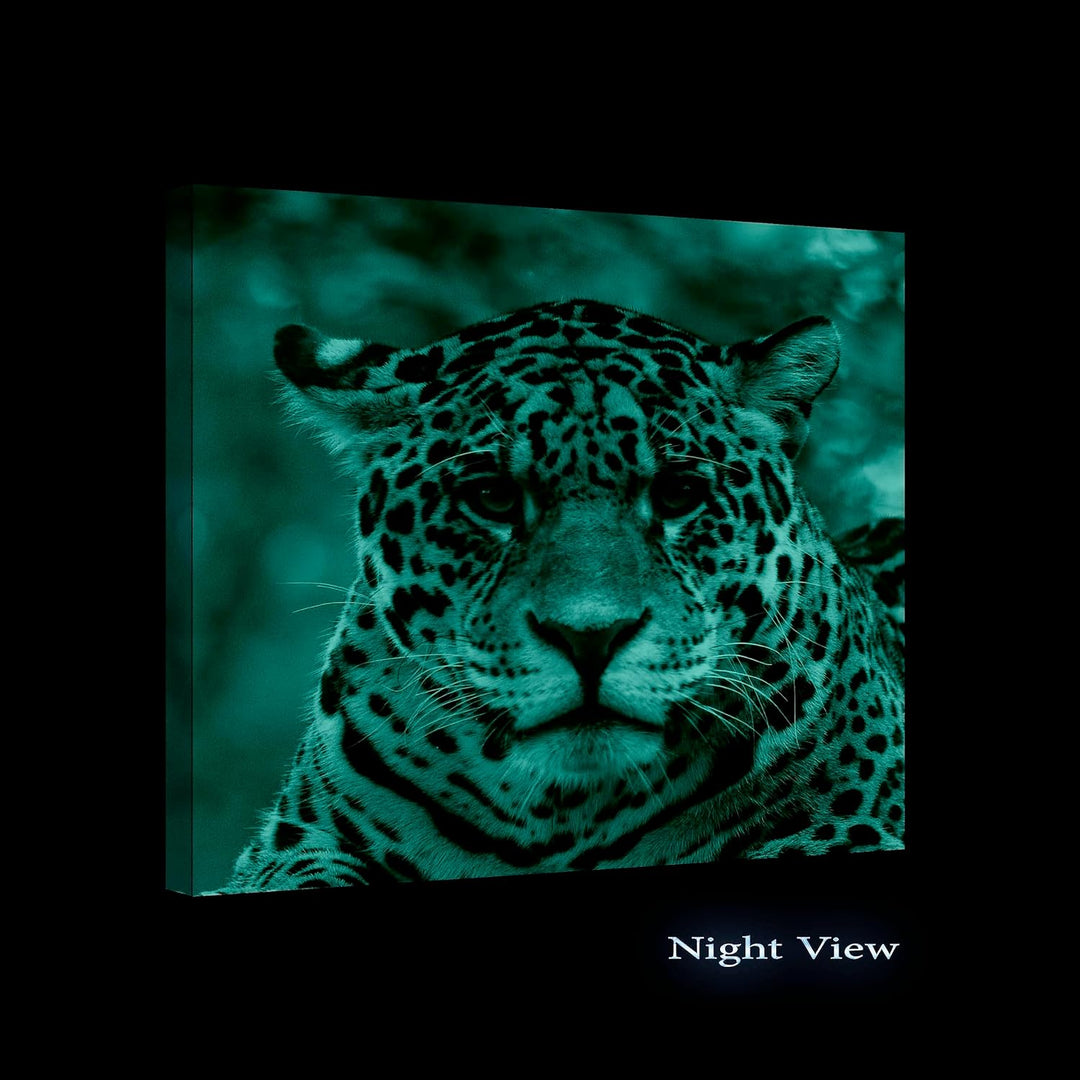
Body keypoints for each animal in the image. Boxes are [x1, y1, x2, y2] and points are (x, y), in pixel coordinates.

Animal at [217, 298, 904, 892]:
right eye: (492, 496)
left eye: (679, 493)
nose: (589, 637)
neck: (560, 815)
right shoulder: (288, 842)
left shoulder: (858, 828)